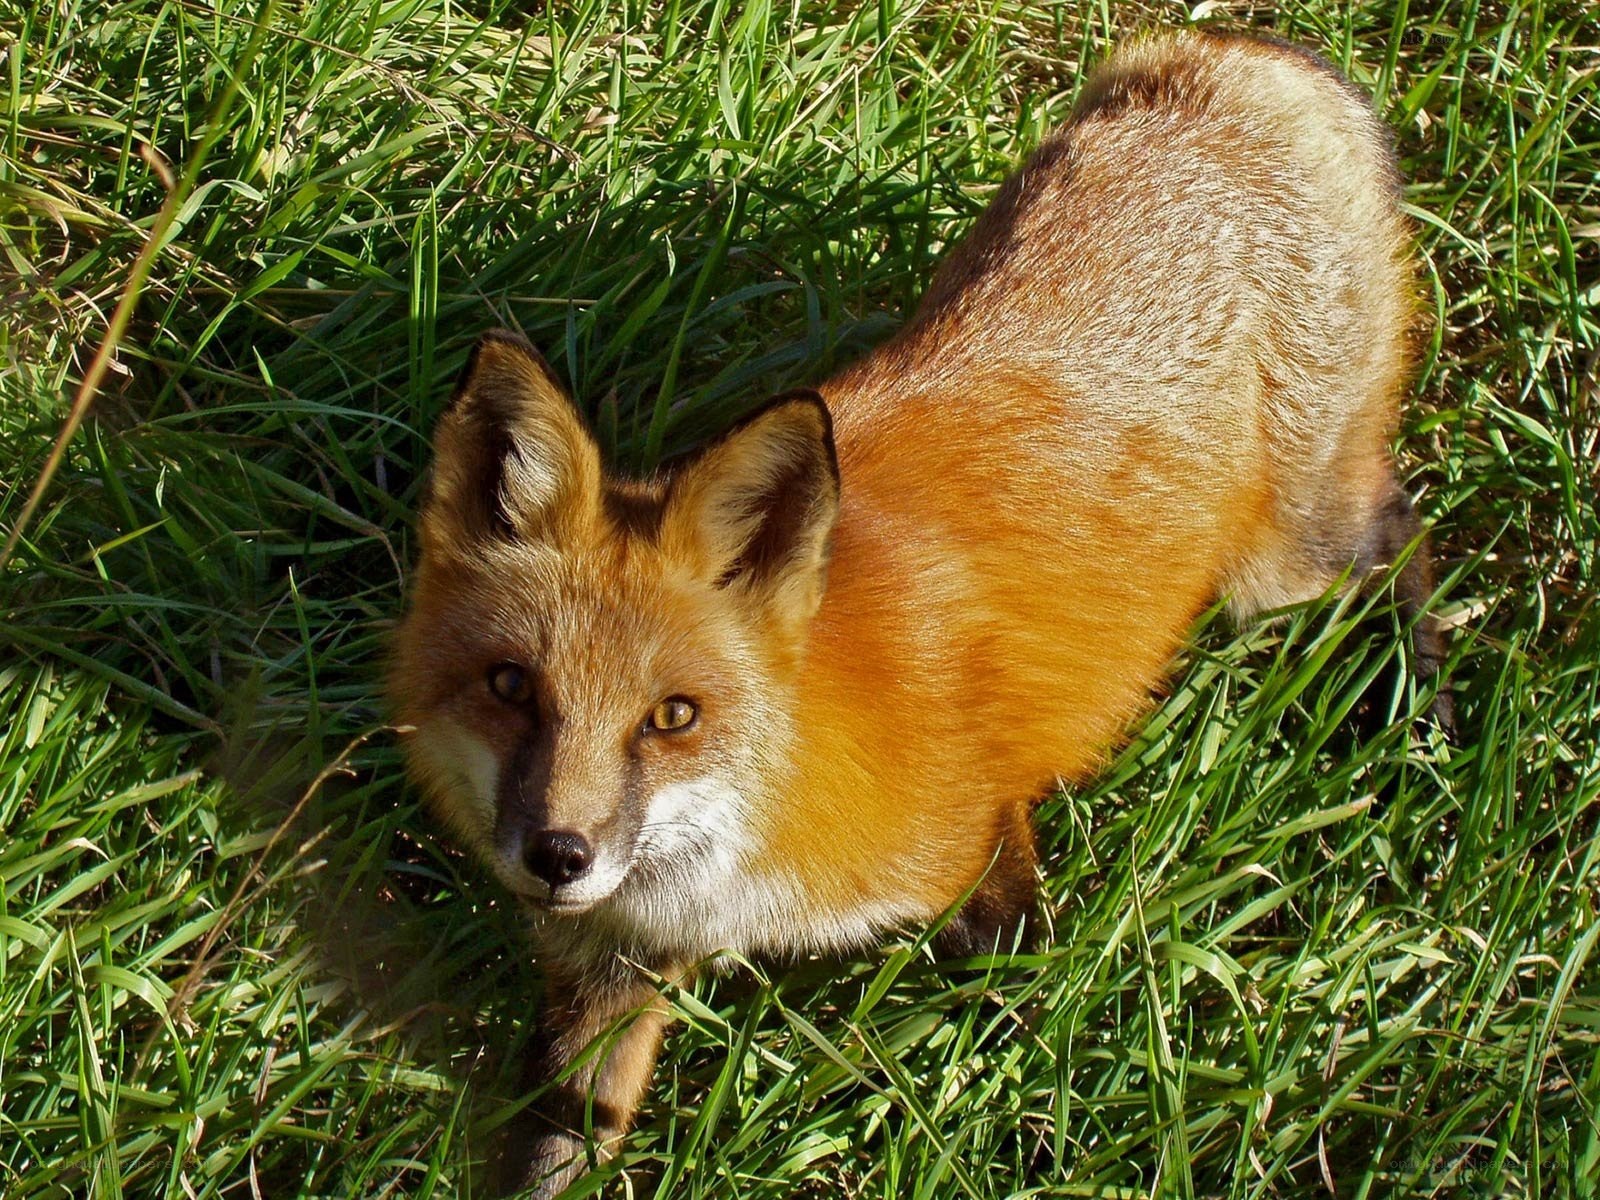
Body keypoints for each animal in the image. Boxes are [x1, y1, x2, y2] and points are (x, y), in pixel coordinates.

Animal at [390, 29, 1450, 1195]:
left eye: (672, 717)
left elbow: (1025, 1033)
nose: (558, 855)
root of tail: (1233, 50)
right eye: (509, 687)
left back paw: (1422, 714)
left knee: (1400, 530)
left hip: (1288, 559)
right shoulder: (610, 967)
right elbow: (562, 1137)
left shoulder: (980, 845)